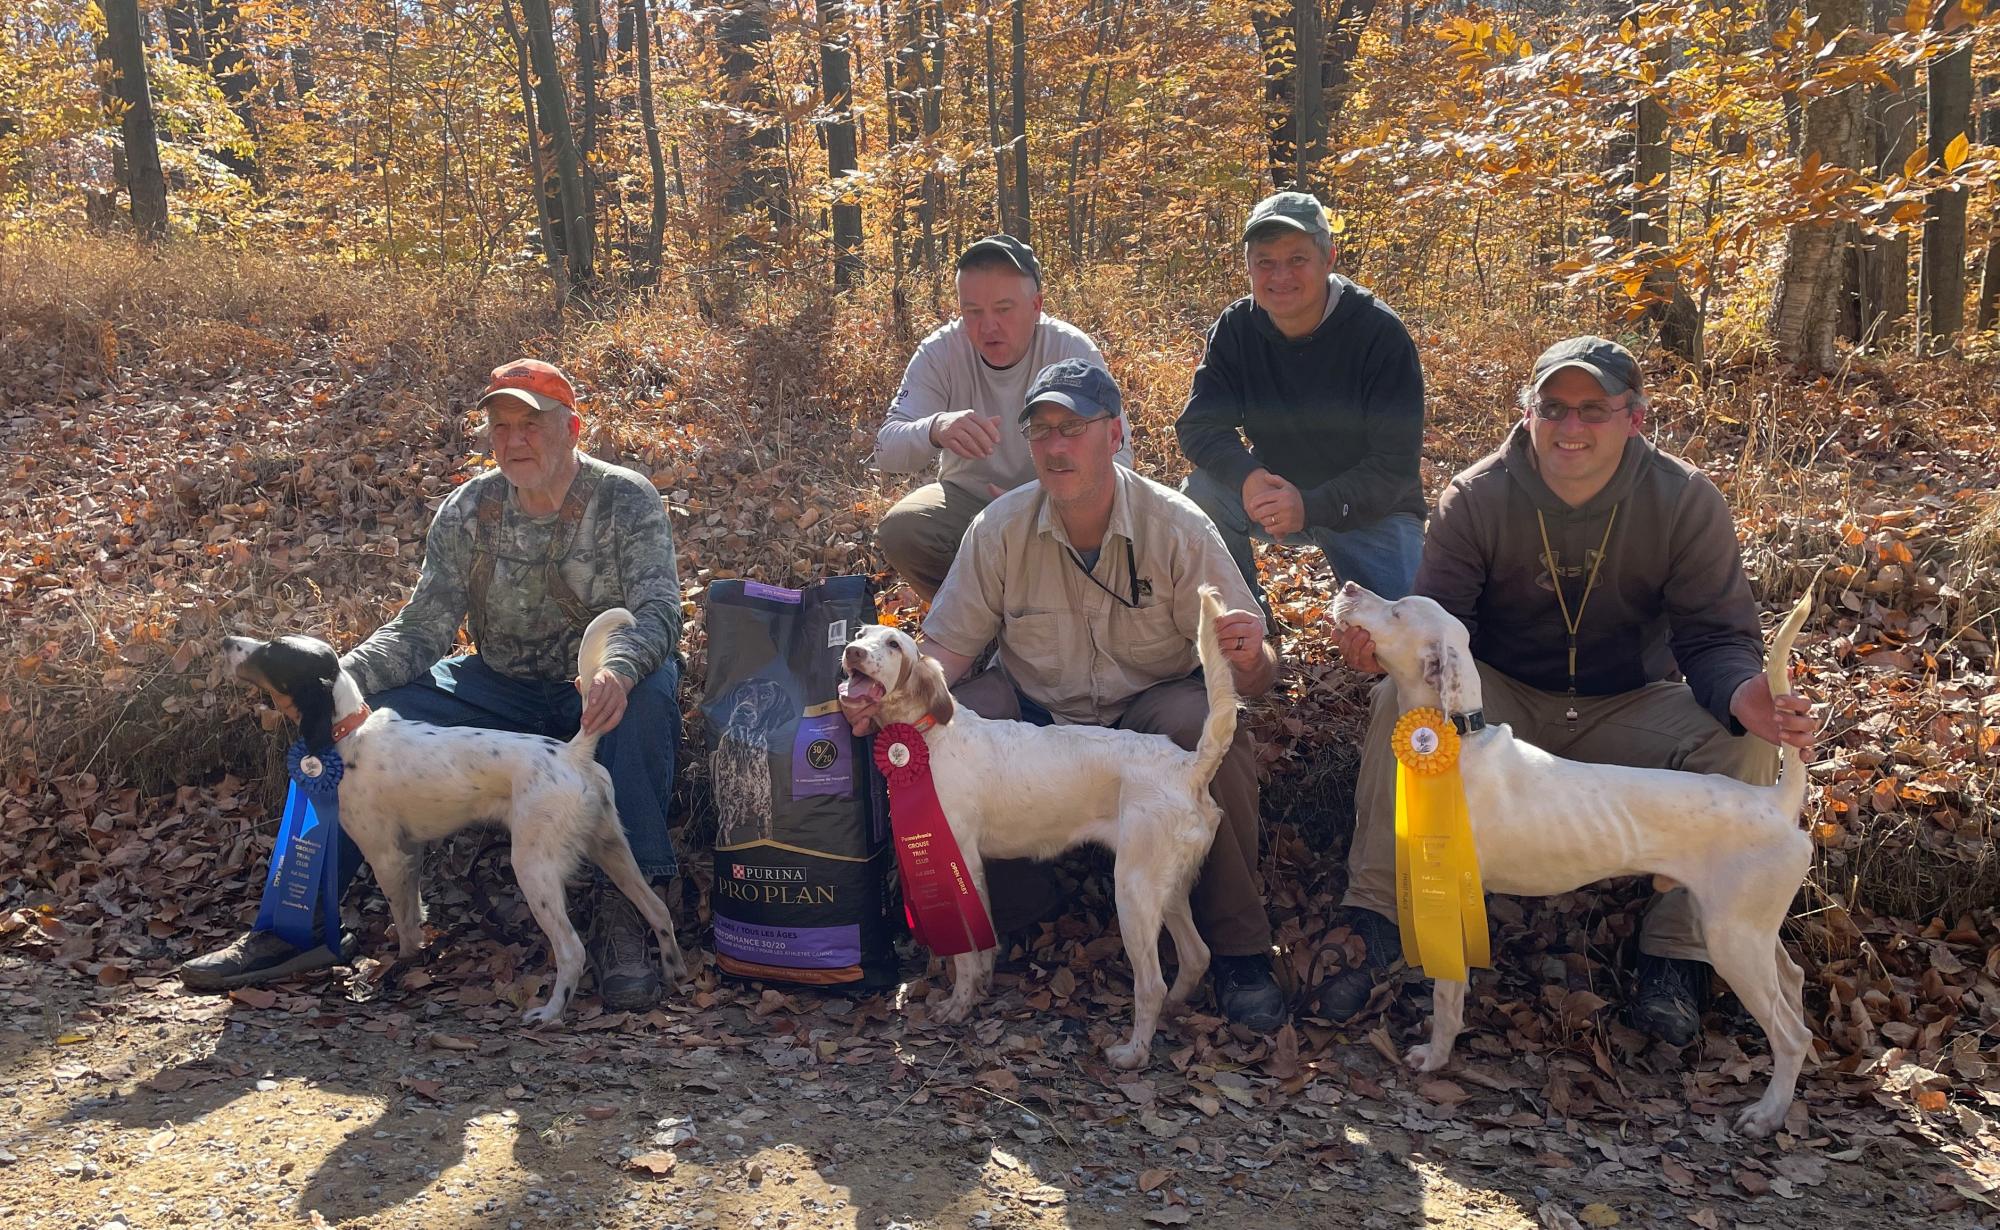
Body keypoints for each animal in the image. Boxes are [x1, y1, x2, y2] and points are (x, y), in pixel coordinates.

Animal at [224, 608, 684, 1032]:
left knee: (573, 949)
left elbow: (405, 925)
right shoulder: (409, 853)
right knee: (659, 908)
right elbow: (415, 913)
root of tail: (574, 754)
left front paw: (398, 970)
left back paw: (551, 1012)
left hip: (534, 867)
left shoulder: (385, 855)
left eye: (272, 652)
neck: (348, 733)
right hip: (613, 851)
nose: (227, 640)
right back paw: (674, 970)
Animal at [836, 584, 1240, 1072]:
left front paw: (957, 1005)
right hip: (1168, 888)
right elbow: (984, 944)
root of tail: (1188, 765)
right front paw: (978, 991)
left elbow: (967, 952)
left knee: (1152, 984)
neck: (929, 736)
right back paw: (1175, 1010)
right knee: (1197, 956)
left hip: (1135, 892)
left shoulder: (960, 859)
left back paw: (1132, 1052)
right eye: (861, 634)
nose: (852, 652)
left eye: (894, 644)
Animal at [1328, 584, 1816, 1144]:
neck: (1459, 743)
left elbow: (1447, 997)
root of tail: (1776, 800)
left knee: (1792, 1034)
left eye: (1397, 612)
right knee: (1794, 982)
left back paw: (1768, 1113)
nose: (1348, 589)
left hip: (1733, 942)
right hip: (1748, 932)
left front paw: (1435, 1055)